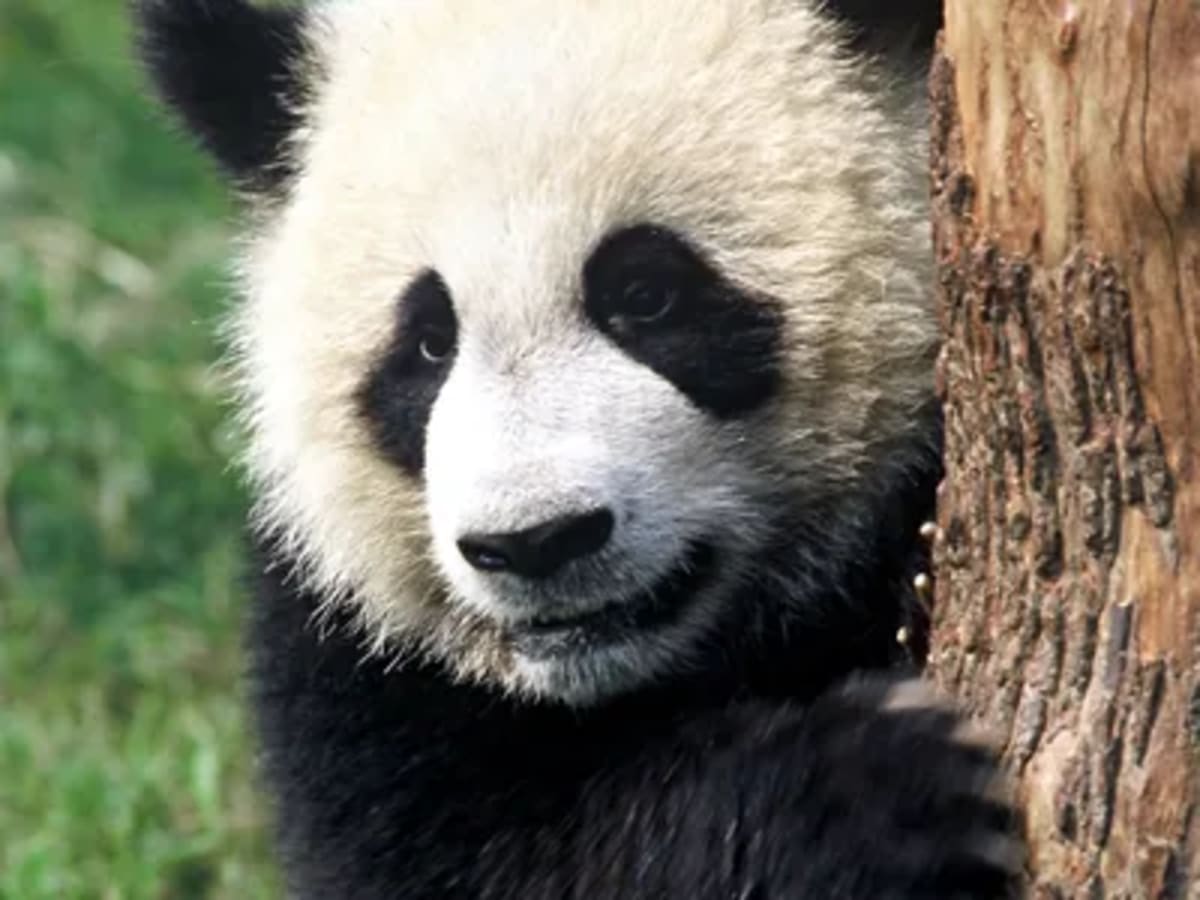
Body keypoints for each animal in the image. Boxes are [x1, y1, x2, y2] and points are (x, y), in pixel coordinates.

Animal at [134, 0, 1024, 896]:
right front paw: (868, 794)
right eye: (427, 342)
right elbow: (448, 856)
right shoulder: (348, 647)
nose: (537, 542)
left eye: (647, 295)